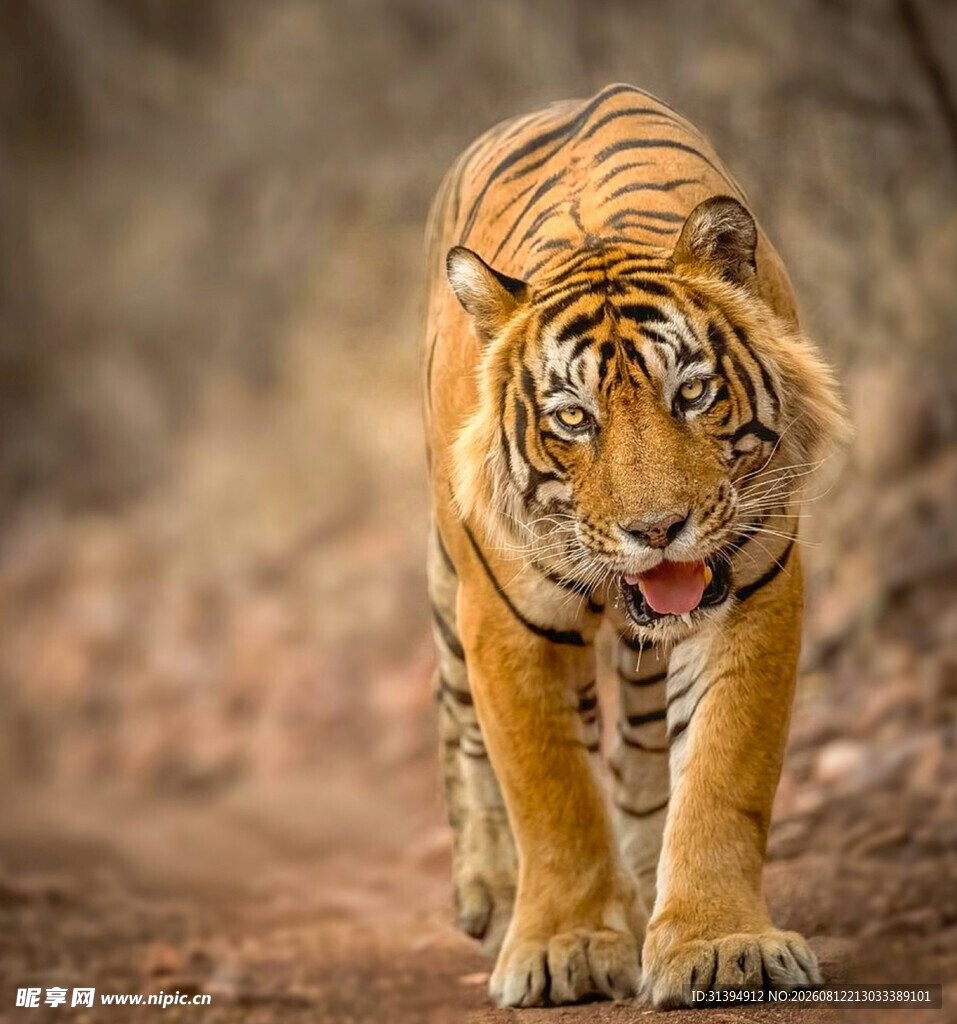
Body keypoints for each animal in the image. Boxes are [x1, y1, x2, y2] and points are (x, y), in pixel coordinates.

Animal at [423, 83, 849, 1009]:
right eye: (571, 418)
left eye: (690, 393)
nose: (655, 532)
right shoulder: (505, 619)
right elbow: (549, 790)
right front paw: (565, 948)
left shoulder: (753, 587)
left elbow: (723, 771)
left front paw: (720, 943)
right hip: (449, 573)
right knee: (458, 715)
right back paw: (489, 892)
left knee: (647, 740)